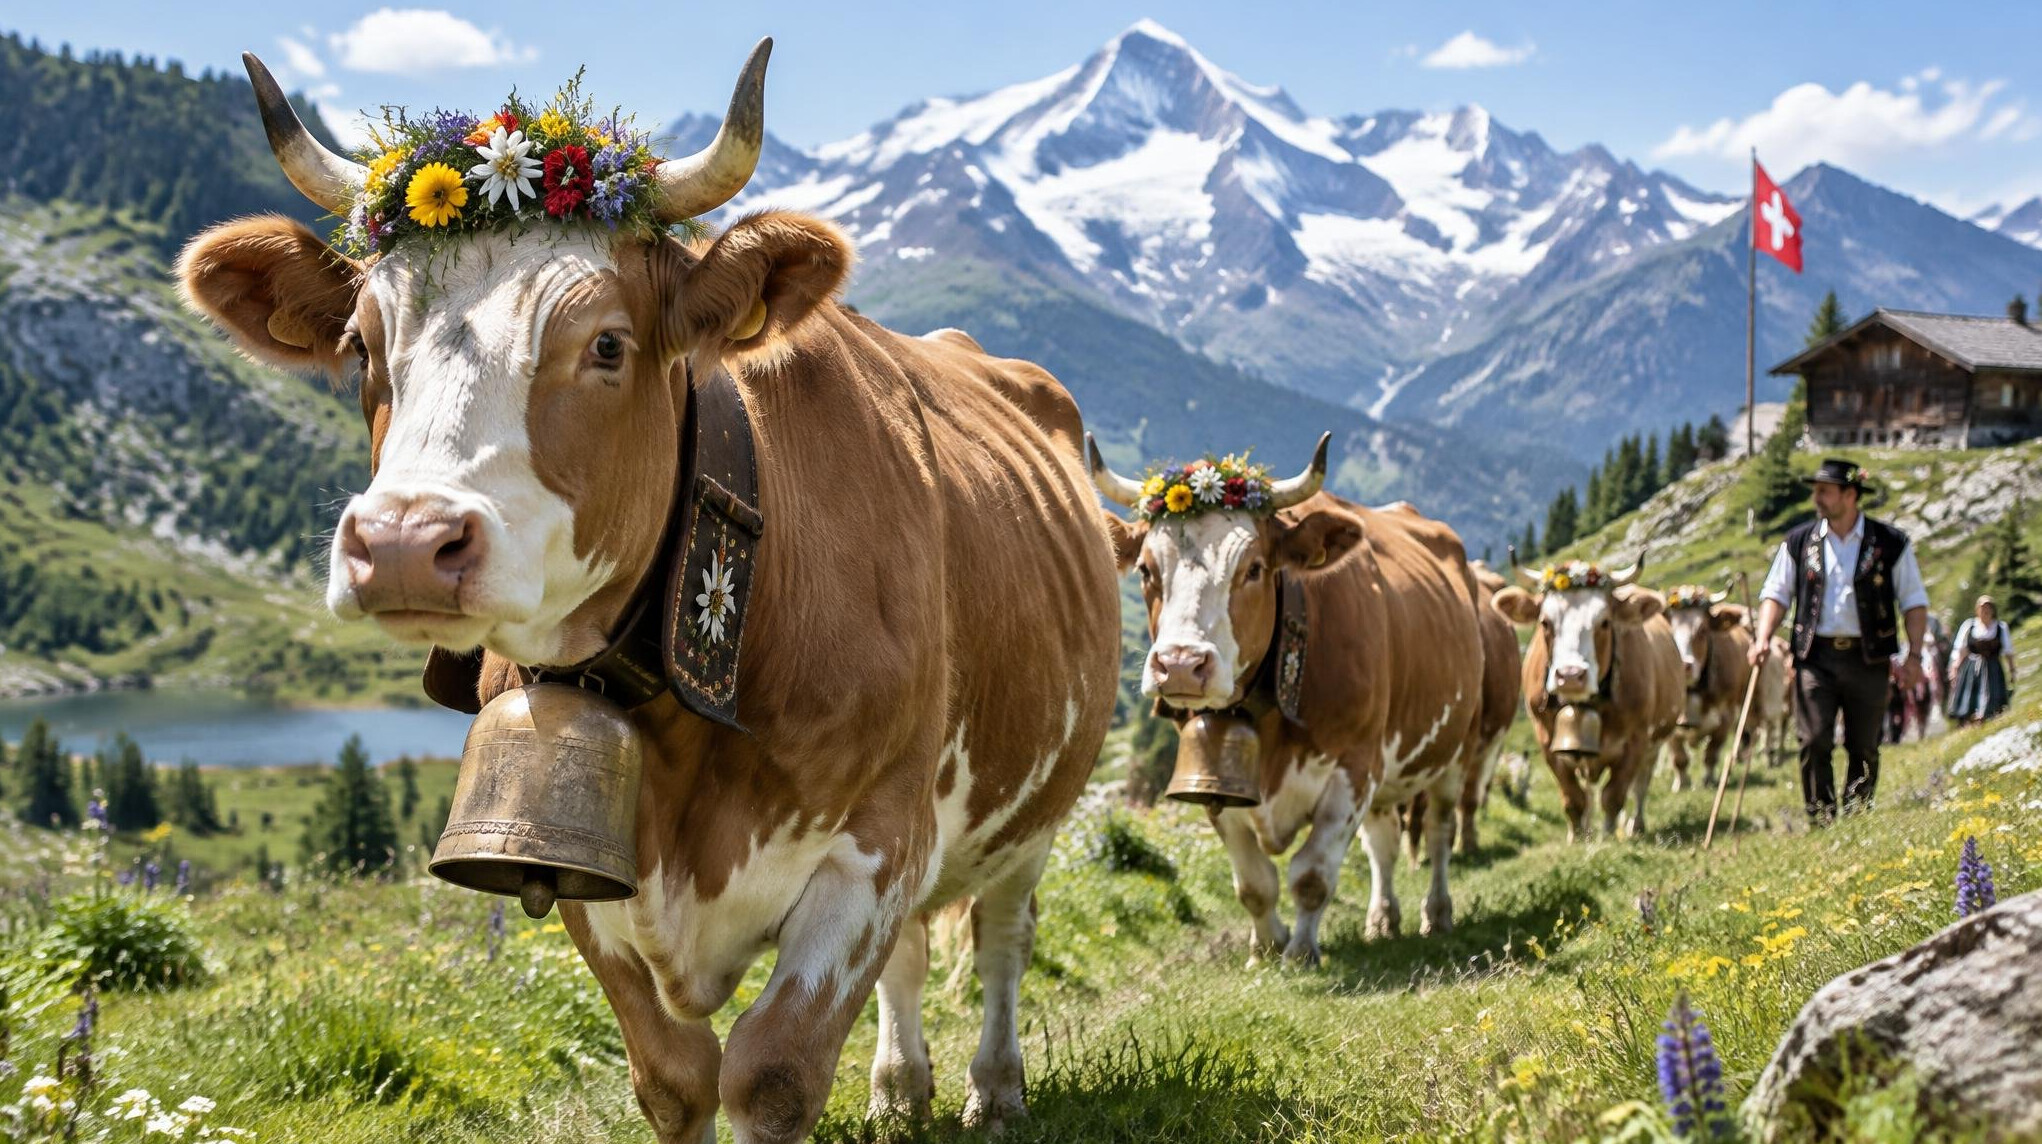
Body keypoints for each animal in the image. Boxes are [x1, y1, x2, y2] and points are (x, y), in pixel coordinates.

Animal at [177, 45, 1122, 1143]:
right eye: (362, 346)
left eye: (607, 345)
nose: (406, 545)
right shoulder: (583, 864)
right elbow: (673, 1078)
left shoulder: (878, 841)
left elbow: (770, 1073)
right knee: (918, 958)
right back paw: (898, 1088)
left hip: (1034, 806)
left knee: (1004, 934)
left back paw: (994, 1088)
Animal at [1089, 450, 1486, 964]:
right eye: (1144, 569)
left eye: (1254, 568)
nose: (1179, 665)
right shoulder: (1212, 779)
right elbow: (1254, 883)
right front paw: (1266, 947)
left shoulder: (1355, 767)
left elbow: (1312, 874)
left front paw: (1301, 951)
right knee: (1383, 844)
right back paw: (1382, 919)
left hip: (1456, 747)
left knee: (1440, 830)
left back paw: (1436, 913)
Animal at [1491, 560, 1683, 842]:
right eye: (1545, 622)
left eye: (1604, 622)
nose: (1570, 676)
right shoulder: (1549, 742)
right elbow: (1573, 798)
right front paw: (1577, 838)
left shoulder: (1636, 741)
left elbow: (1614, 795)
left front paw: (1608, 837)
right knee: (1589, 790)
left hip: (1655, 741)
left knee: (1640, 783)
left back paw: (1634, 825)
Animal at [1659, 586, 1755, 793]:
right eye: (1669, 630)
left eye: (1702, 630)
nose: (1683, 665)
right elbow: (1679, 758)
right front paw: (1681, 784)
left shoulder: (1726, 716)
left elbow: (1711, 752)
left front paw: (1709, 780)